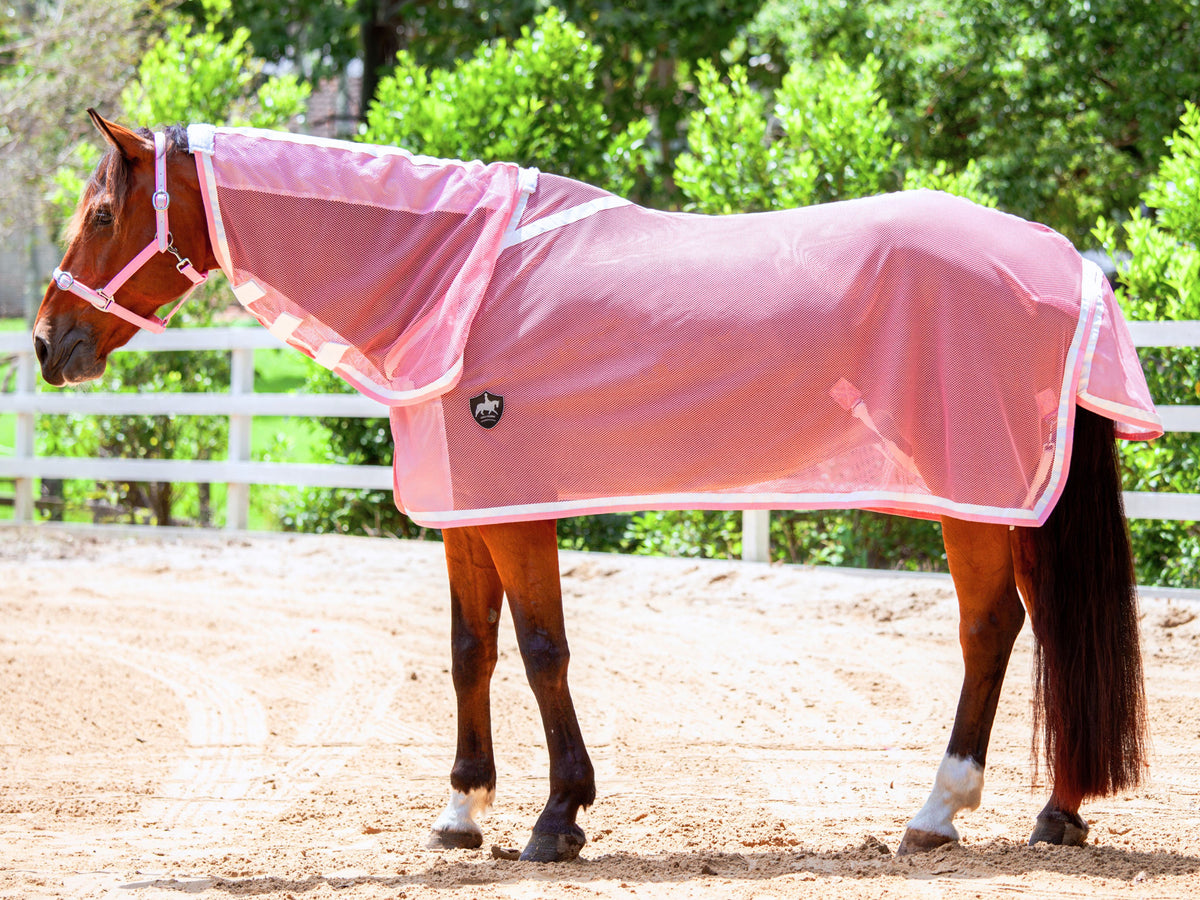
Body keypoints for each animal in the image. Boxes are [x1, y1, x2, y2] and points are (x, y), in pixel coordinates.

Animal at [33, 111, 1159, 862]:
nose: (47, 344)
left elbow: (541, 652)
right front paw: (461, 812)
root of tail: (1065, 258)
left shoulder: (519, 511)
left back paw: (938, 812)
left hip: (979, 495)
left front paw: (556, 817)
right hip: (1008, 500)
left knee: (994, 627)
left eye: (102, 212)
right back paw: (1055, 811)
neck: (458, 277)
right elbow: (470, 651)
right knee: (1042, 624)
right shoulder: (467, 513)